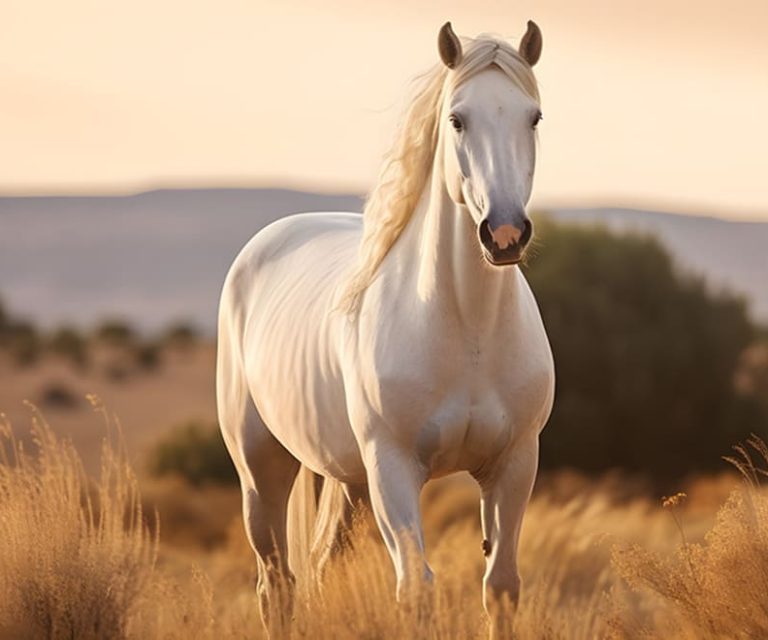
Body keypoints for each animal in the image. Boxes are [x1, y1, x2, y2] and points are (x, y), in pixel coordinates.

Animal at [216, 20, 554, 637]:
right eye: (457, 119)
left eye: (533, 117)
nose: (505, 234)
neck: (467, 331)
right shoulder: (393, 468)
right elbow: (415, 589)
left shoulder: (514, 465)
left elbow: (501, 587)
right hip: (262, 469)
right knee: (277, 586)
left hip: (347, 482)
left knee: (318, 570)